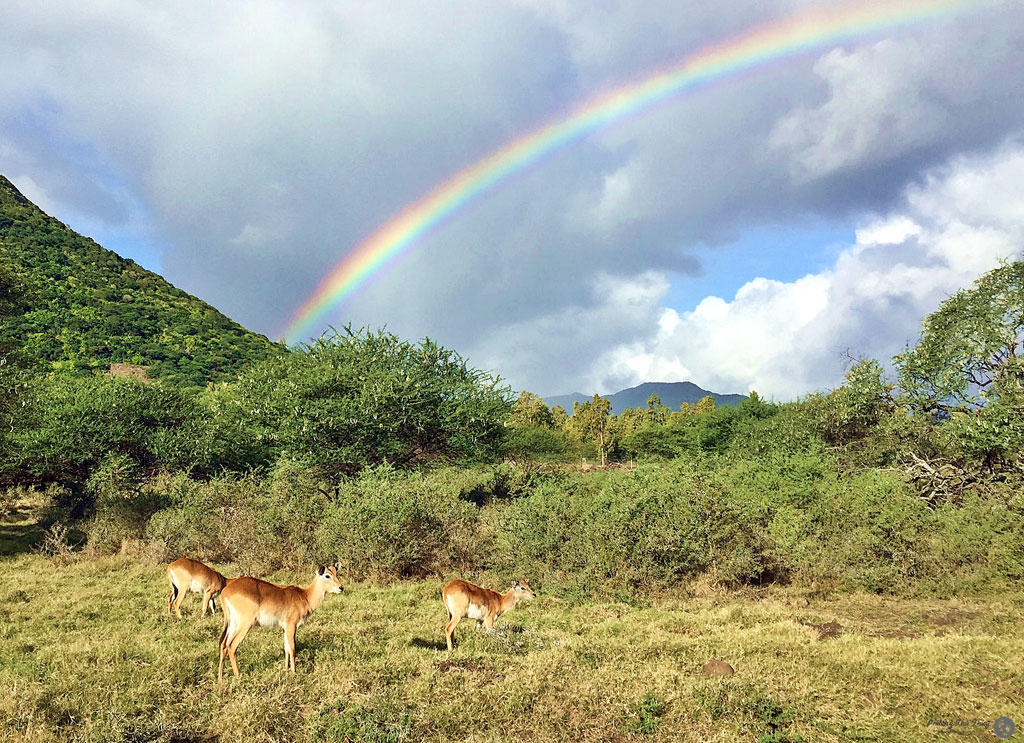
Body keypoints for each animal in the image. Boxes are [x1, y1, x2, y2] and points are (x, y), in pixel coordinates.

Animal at [216, 564, 344, 679]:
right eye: (327, 575)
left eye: (336, 573)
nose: (341, 587)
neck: (305, 597)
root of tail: (225, 592)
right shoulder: (291, 626)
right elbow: (292, 648)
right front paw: (294, 672)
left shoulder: (285, 628)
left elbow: (286, 648)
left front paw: (286, 669)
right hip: (245, 624)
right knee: (231, 646)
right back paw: (238, 676)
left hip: (233, 624)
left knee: (223, 644)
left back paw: (220, 679)